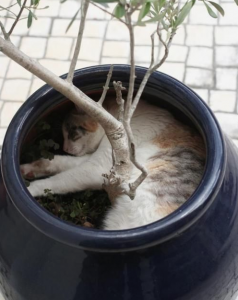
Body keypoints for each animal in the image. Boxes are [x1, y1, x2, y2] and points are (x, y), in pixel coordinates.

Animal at [20, 100, 205, 230]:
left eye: (72, 132)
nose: (65, 148)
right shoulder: (94, 160)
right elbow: (57, 162)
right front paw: (27, 170)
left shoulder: (98, 168)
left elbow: (58, 180)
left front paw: (30, 190)